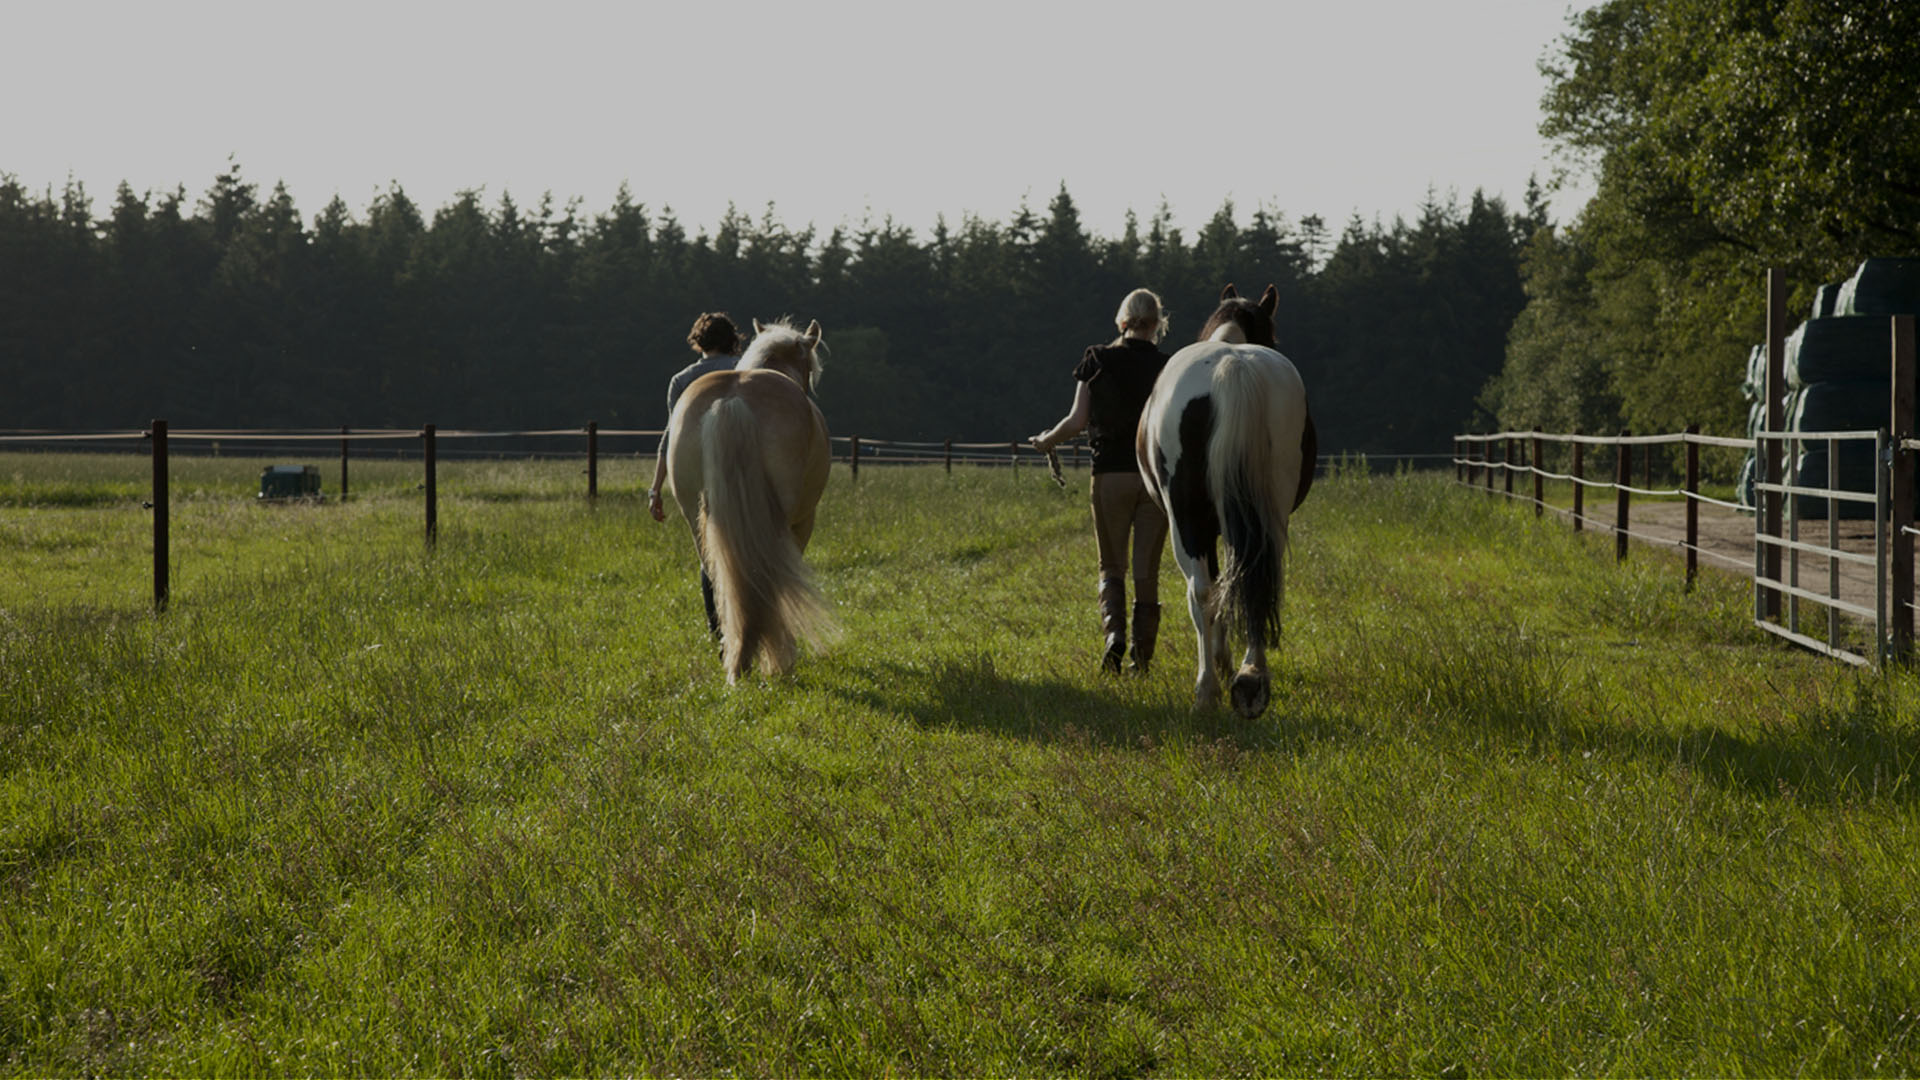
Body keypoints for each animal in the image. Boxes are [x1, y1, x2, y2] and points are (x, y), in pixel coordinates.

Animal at [1137, 284, 1316, 717]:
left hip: (1186, 520)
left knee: (1202, 590)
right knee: (1260, 579)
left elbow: (1215, 590)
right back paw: (1252, 679)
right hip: (1267, 511)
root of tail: (1232, 367)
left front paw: (1219, 662)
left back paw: (1208, 689)